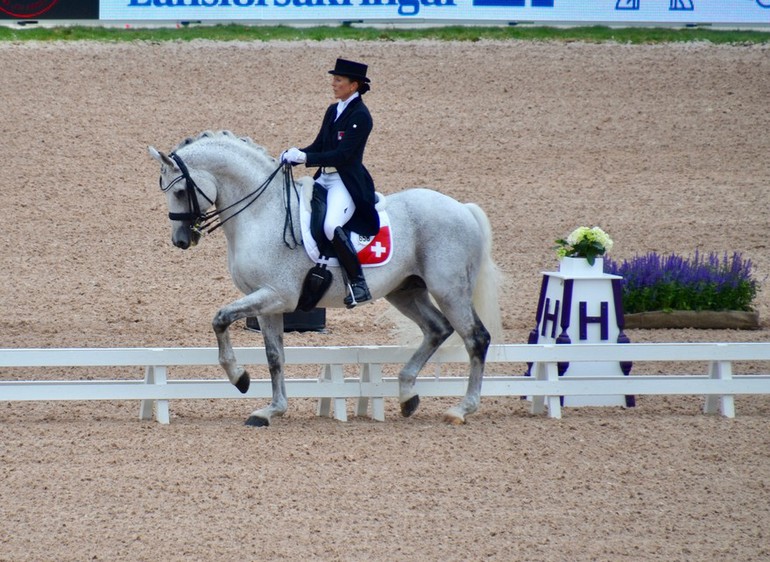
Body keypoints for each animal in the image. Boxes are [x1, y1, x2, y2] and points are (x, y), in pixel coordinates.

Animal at [148, 129, 500, 424]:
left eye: (180, 191)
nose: (181, 240)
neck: (262, 212)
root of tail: (462, 208)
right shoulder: (266, 303)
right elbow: (274, 356)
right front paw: (271, 410)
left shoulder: (276, 295)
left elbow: (220, 318)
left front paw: (240, 378)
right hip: (405, 291)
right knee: (437, 329)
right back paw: (407, 395)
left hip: (449, 290)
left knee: (475, 338)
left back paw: (461, 409)